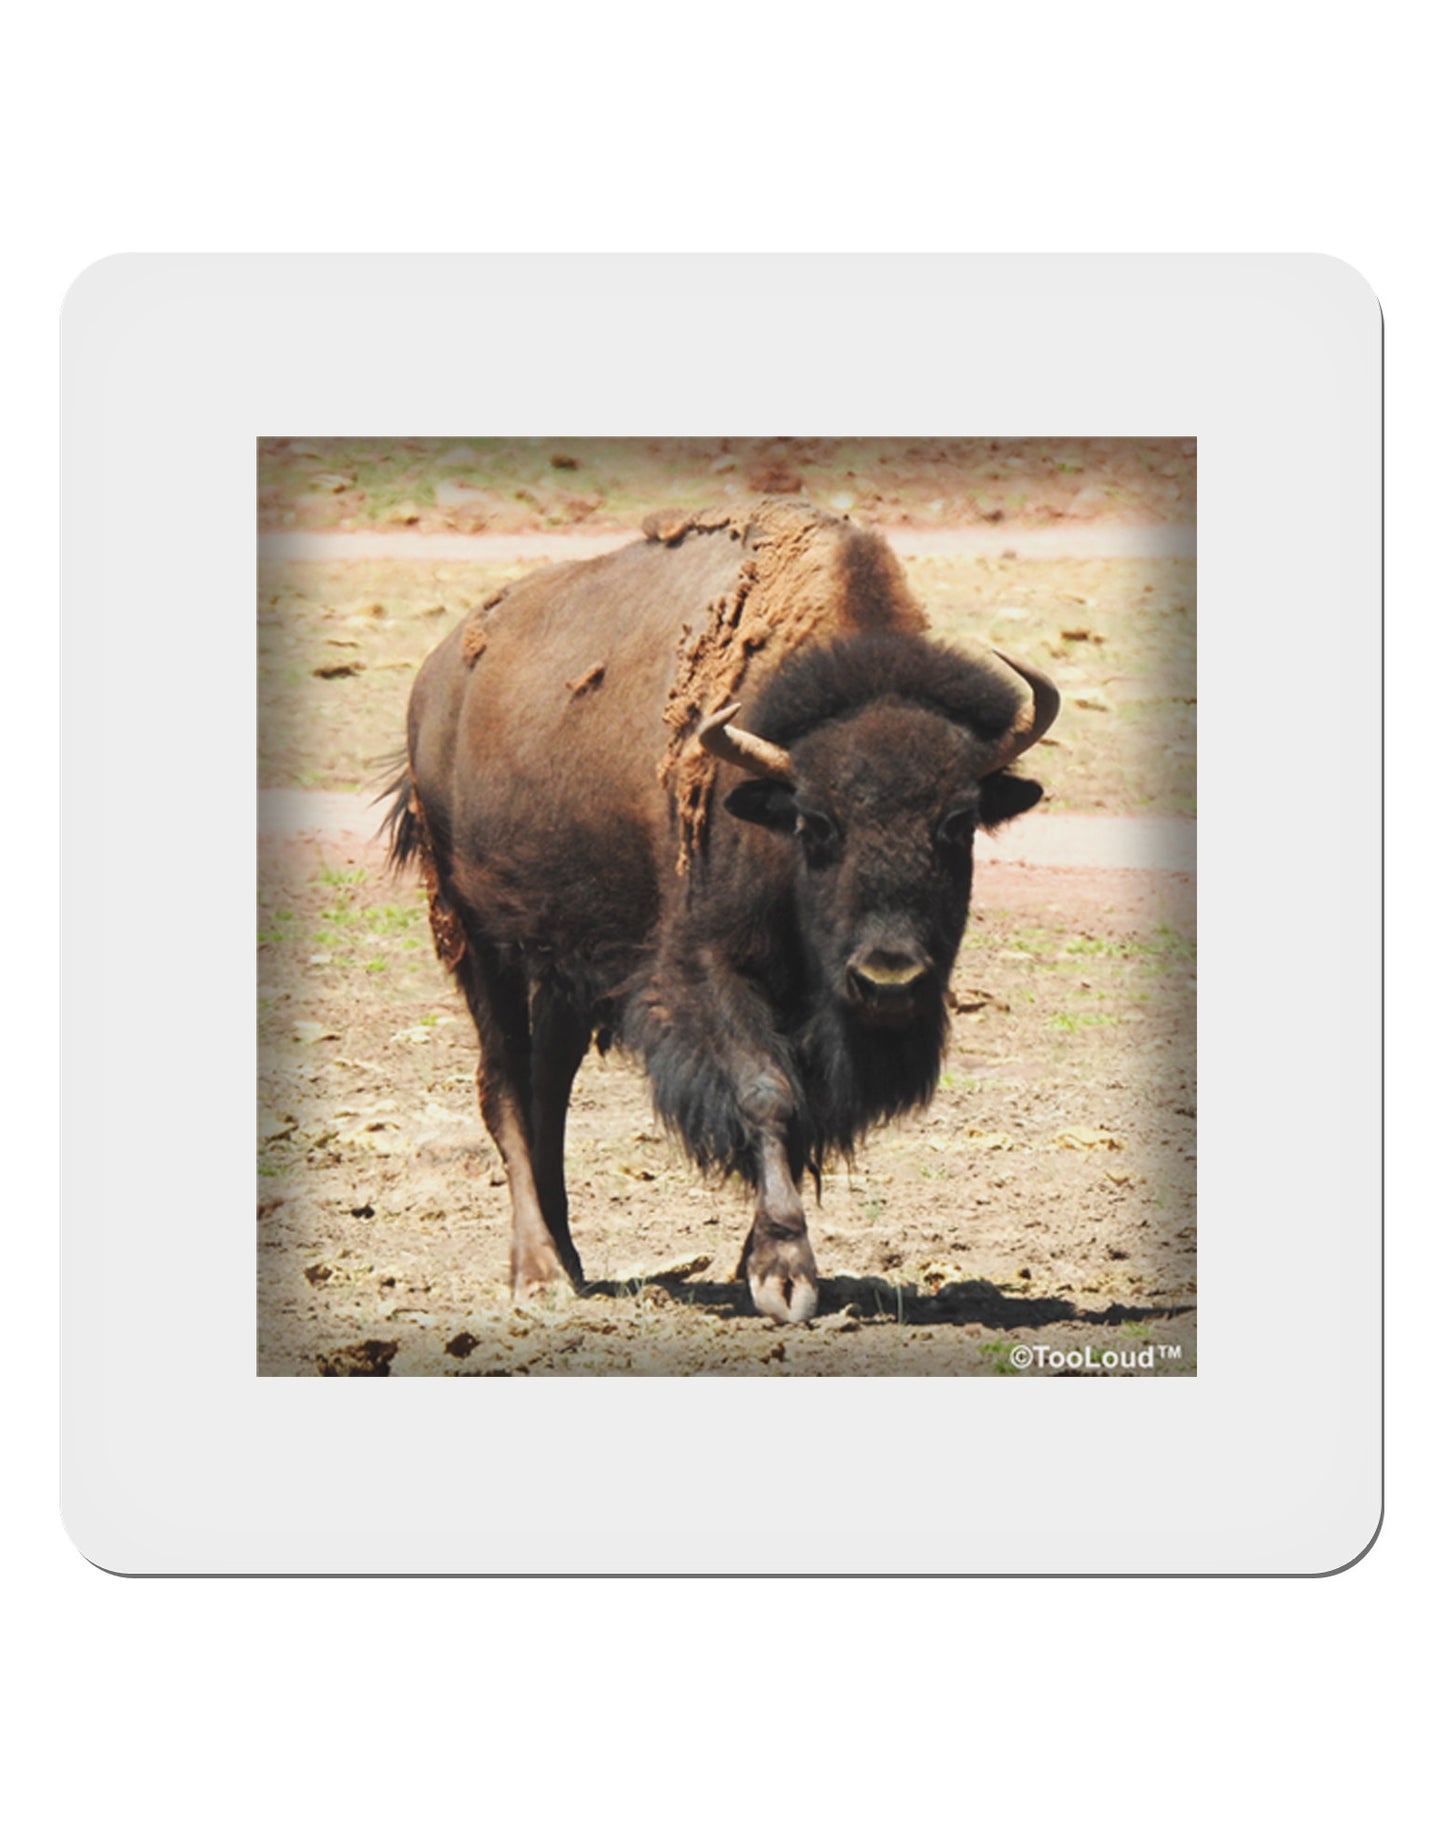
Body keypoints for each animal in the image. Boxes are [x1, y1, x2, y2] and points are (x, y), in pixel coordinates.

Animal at [383, 498, 1058, 1322]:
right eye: (815, 822)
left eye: (958, 822)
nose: (889, 979)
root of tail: (437, 681)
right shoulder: (709, 969)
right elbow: (765, 1094)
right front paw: (783, 1274)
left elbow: (802, 1113)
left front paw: (757, 1257)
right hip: (475, 936)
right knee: (504, 1084)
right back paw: (537, 1272)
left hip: (568, 960)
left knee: (550, 1082)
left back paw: (571, 1259)